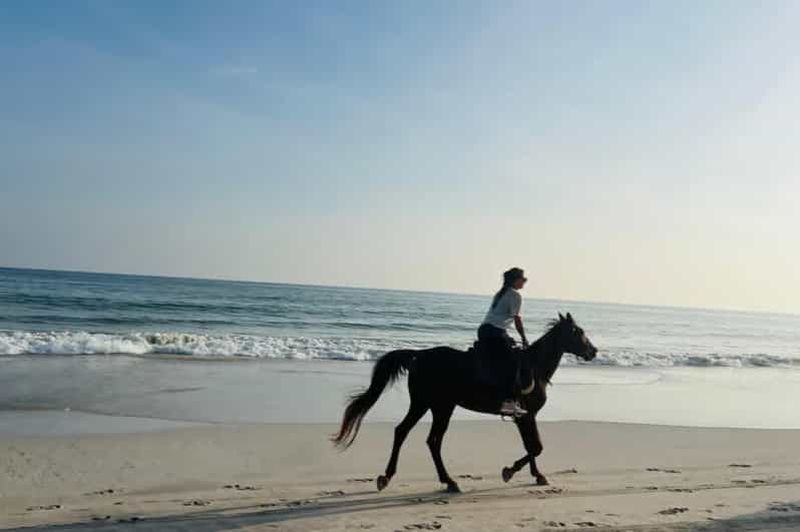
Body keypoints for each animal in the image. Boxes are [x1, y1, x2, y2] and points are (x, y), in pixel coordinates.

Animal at [331, 312, 597, 493]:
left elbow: (532, 445)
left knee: (418, 436)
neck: (534, 367)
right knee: (418, 436)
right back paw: (427, 479)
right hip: (433, 405)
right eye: (578, 331)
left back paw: (432, 480)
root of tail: (419, 355)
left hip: (434, 405)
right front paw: (511, 472)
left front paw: (536, 475)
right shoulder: (526, 415)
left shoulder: (523, 416)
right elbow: (536, 446)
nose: (593, 351)